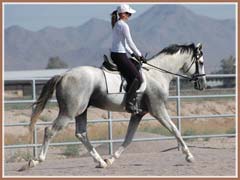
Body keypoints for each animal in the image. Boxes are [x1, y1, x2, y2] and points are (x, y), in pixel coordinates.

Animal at [22, 43, 206, 169]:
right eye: (202, 62)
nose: (202, 84)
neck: (157, 74)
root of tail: (64, 75)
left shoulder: (138, 114)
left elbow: (128, 138)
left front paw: (111, 158)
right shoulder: (158, 109)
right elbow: (175, 129)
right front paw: (189, 156)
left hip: (81, 111)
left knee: (81, 134)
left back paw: (101, 162)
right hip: (69, 112)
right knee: (50, 130)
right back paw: (35, 161)